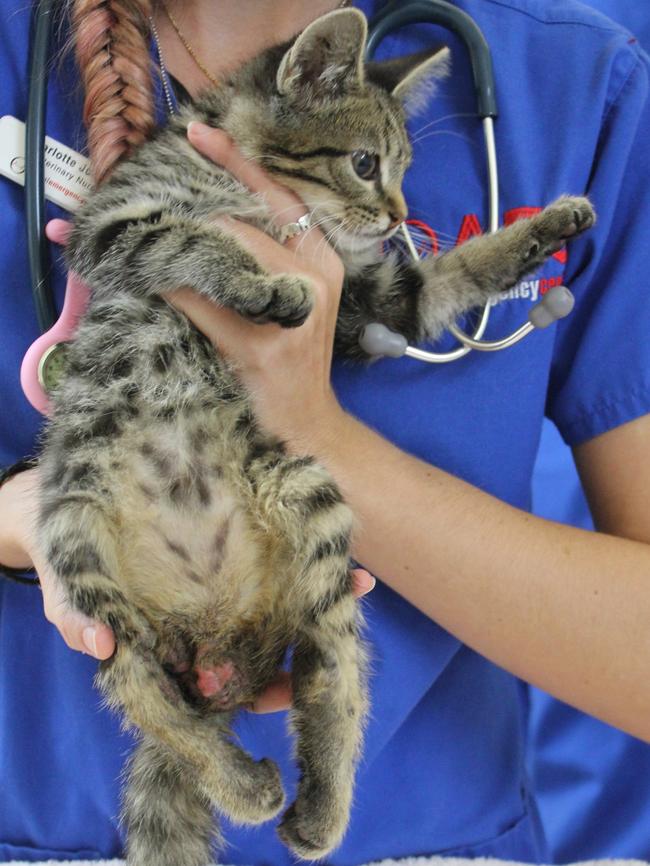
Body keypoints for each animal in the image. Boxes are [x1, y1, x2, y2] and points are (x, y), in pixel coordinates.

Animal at [39, 8, 592, 864]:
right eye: (365, 163)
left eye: (402, 169)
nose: (397, 215)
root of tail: (208, 636)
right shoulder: (111, 226)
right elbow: (189, 238)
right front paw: (258, 281)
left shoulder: (367, 303)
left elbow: (441, 280)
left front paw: (542, 228)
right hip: (74, 534)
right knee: (135, 683)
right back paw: (240, 780)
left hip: (311, 500)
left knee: (333, 669)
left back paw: (317, 798)